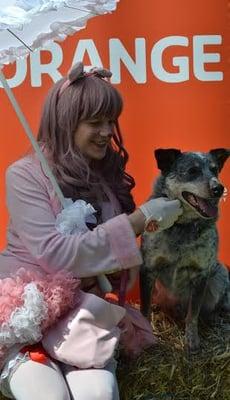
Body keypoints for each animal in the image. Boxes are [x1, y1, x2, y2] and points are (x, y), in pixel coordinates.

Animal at [140, 148, 230, 352]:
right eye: (192, 171)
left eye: (215, 170)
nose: (219, 189)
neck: (182, 227)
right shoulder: (148, 269)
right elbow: (144, 308)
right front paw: (147, 335)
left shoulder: (201, 273)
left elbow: (193, 314)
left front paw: (192, 340)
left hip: (220, 274)